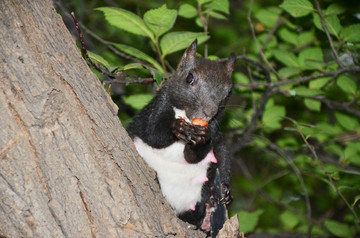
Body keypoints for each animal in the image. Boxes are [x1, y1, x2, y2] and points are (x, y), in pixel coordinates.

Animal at [127, 39, 236, 236]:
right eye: (189, 78)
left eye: (229, 91)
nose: (209, 111)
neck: (187, 116)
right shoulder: (155, 110)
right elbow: (153, 134)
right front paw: (176, 128)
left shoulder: (215, 129)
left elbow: (193, 156)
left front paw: (201, 138)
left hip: (217, 162)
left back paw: (215, 203)